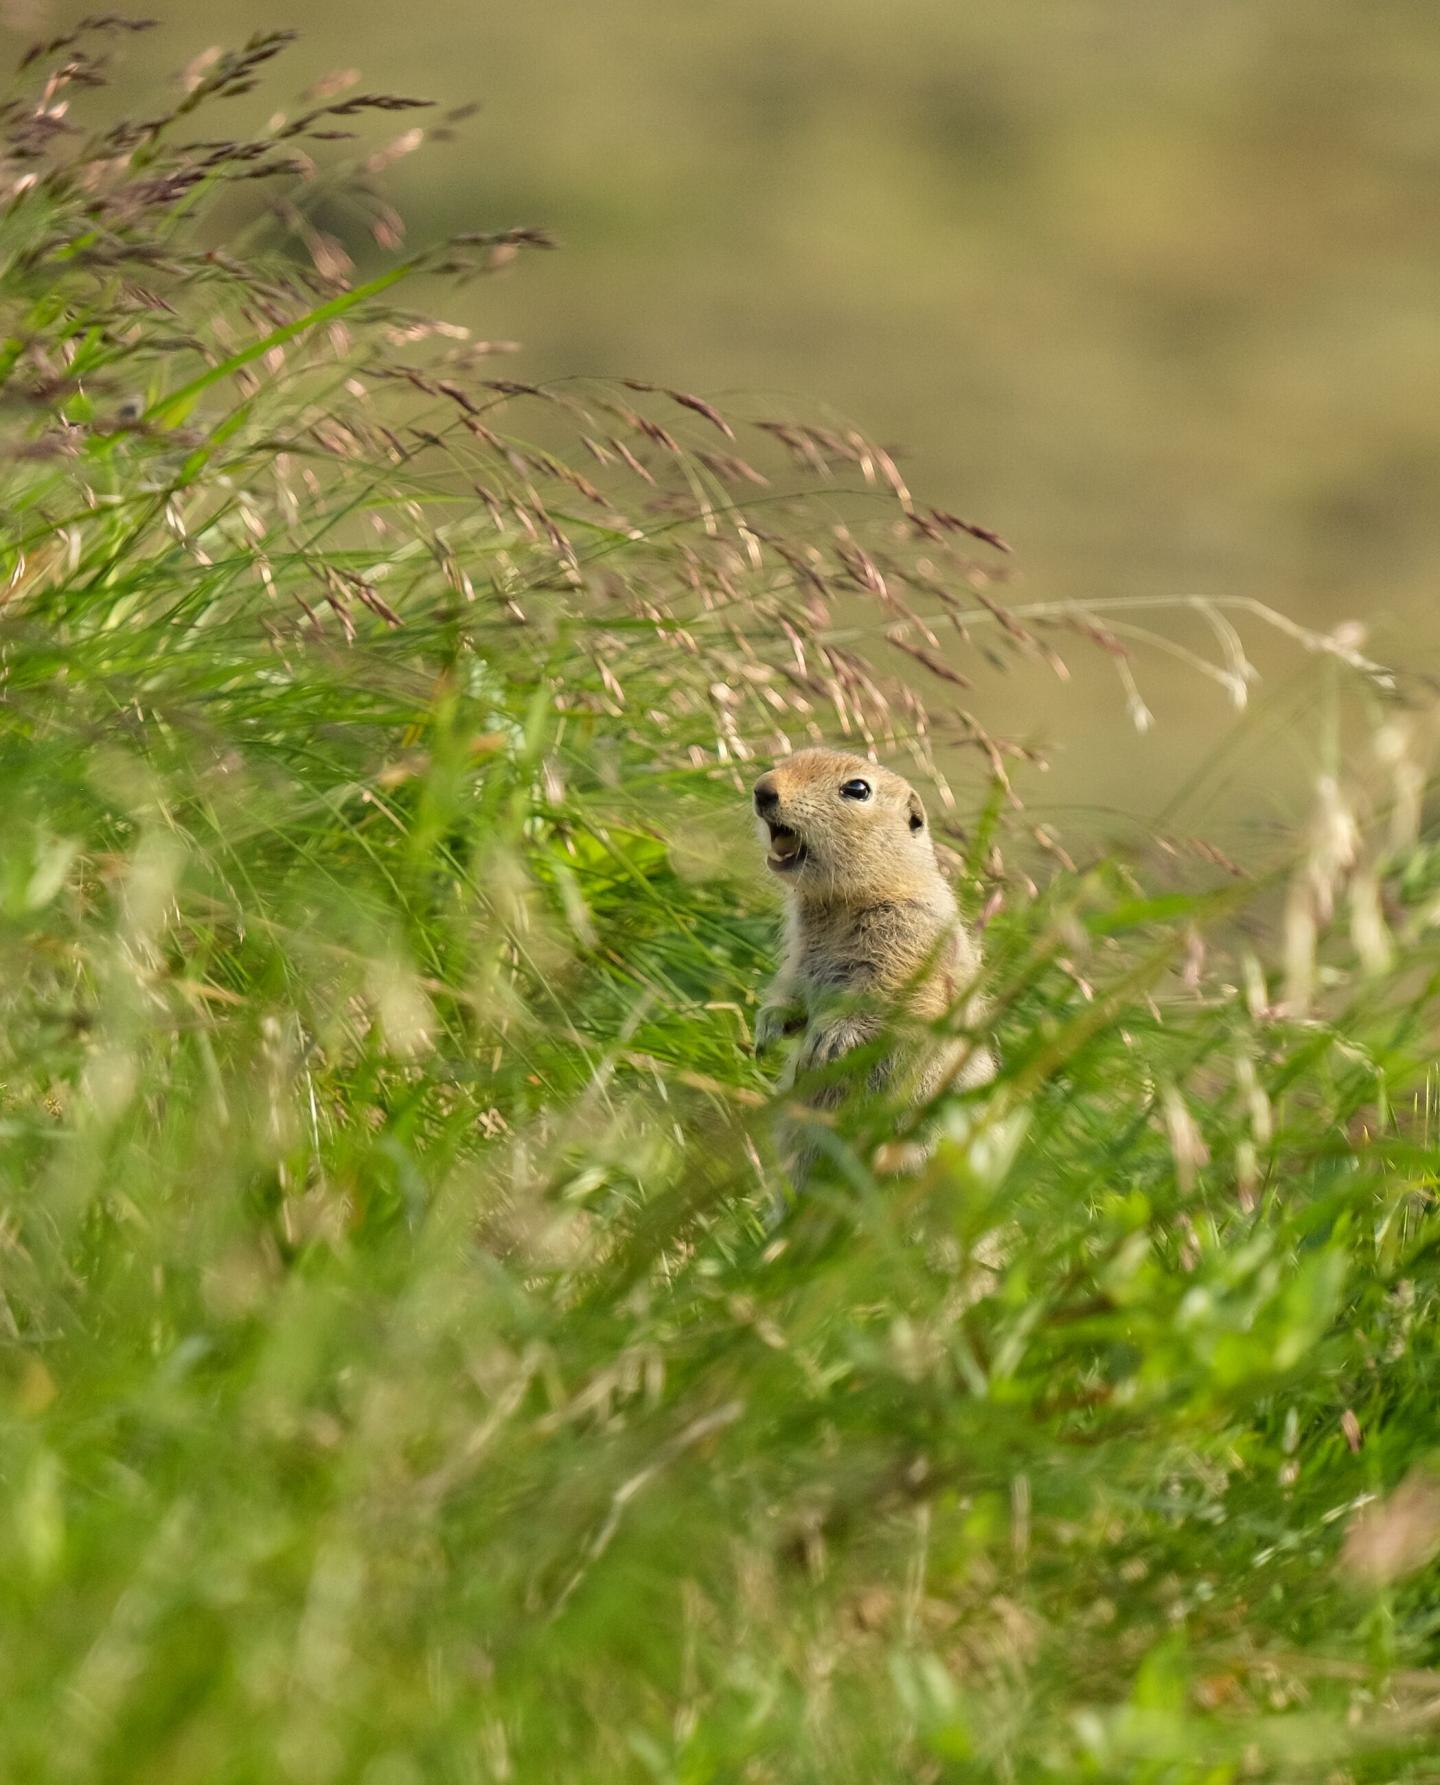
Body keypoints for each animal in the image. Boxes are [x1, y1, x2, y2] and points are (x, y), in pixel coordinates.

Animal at [751, 747, 993, 1181]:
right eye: (789, 758)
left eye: (857, 789)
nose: (762, 789)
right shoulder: (800, 954)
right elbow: (792, 989)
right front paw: (769, 1026)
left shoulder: (909, 942)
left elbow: (896, 1003)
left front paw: (829, 1039)